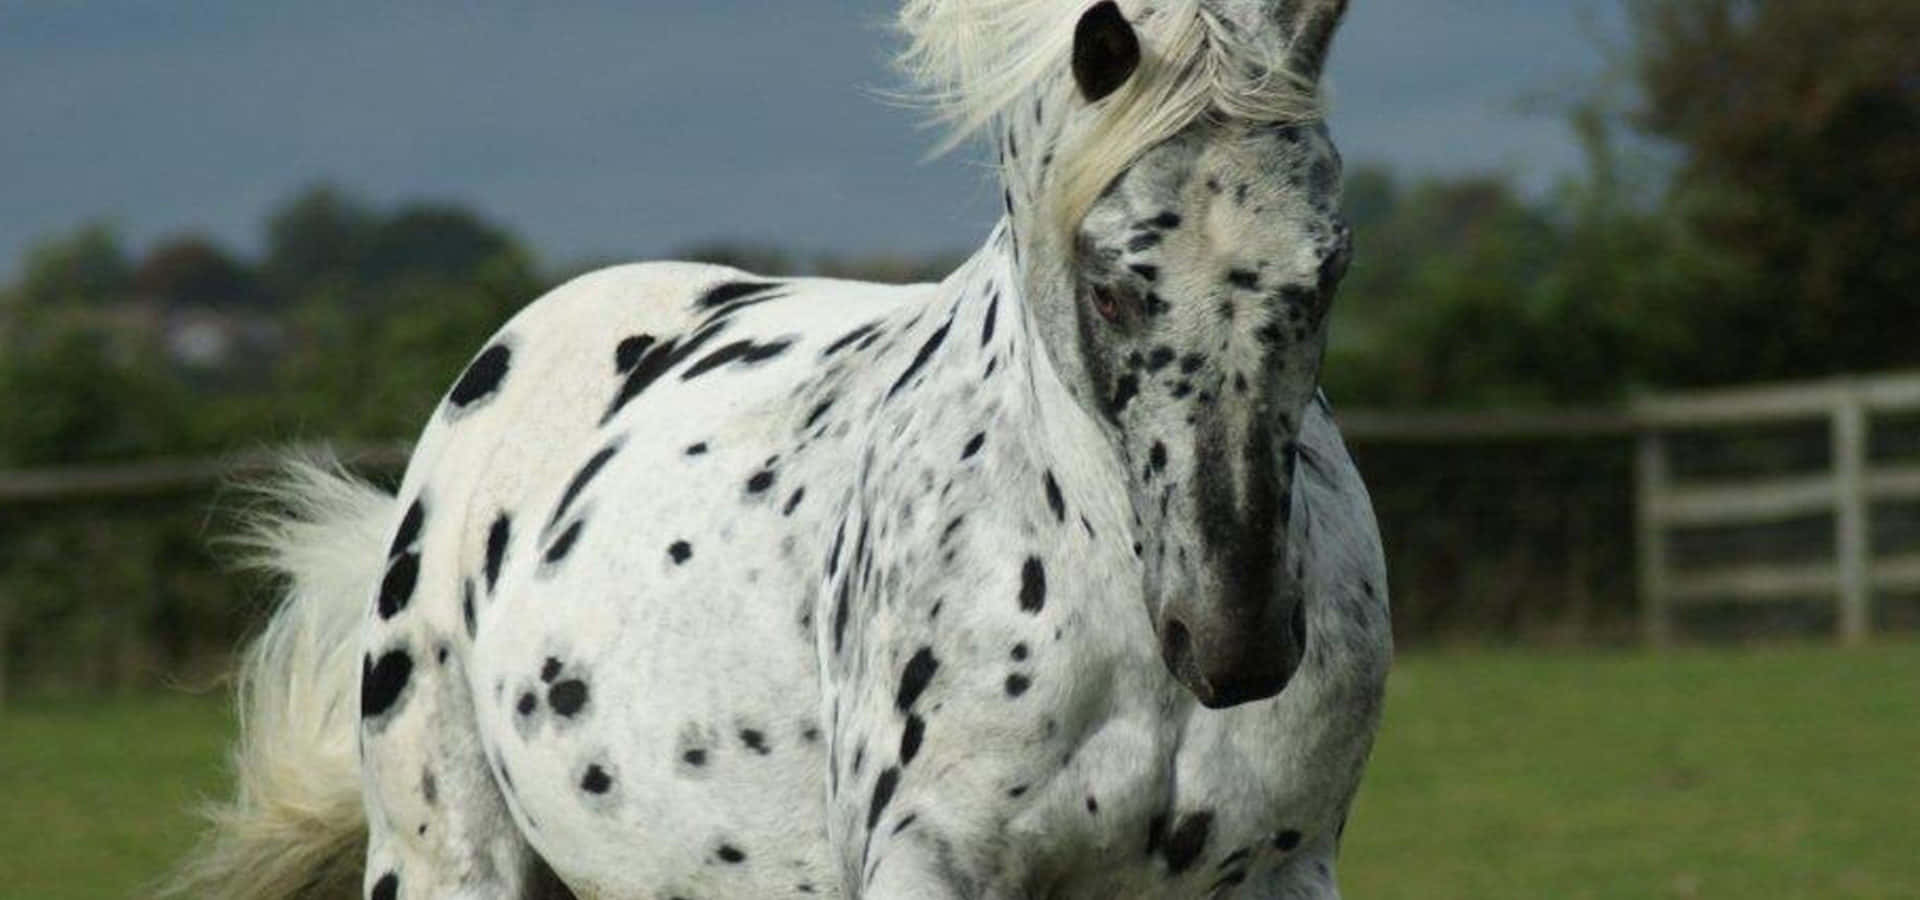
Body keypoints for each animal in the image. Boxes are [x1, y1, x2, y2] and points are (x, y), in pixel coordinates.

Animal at [174, 1, 1390, 897]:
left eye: (1330, 268)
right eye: (1111, 285)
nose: (1234, 641)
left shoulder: (1278, 874)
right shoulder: (929, 865)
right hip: (447, 862)